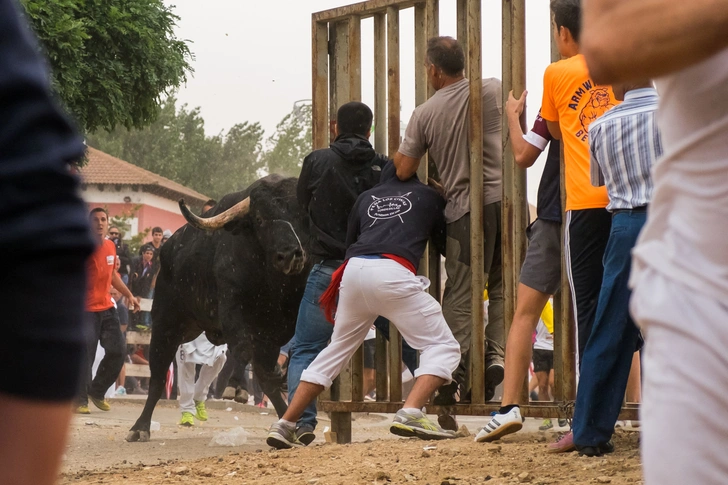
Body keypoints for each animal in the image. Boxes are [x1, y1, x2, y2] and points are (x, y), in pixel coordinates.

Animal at [128, 175, 310, 442]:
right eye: (260, 219)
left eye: (298, 216)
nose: (290, 255)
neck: (270, 280)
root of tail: (168, 249)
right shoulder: (234, 312)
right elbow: (246, 353)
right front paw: (241, 387)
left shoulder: (280, 325)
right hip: (165, 323)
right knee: (158, 376)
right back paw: (140, 427)